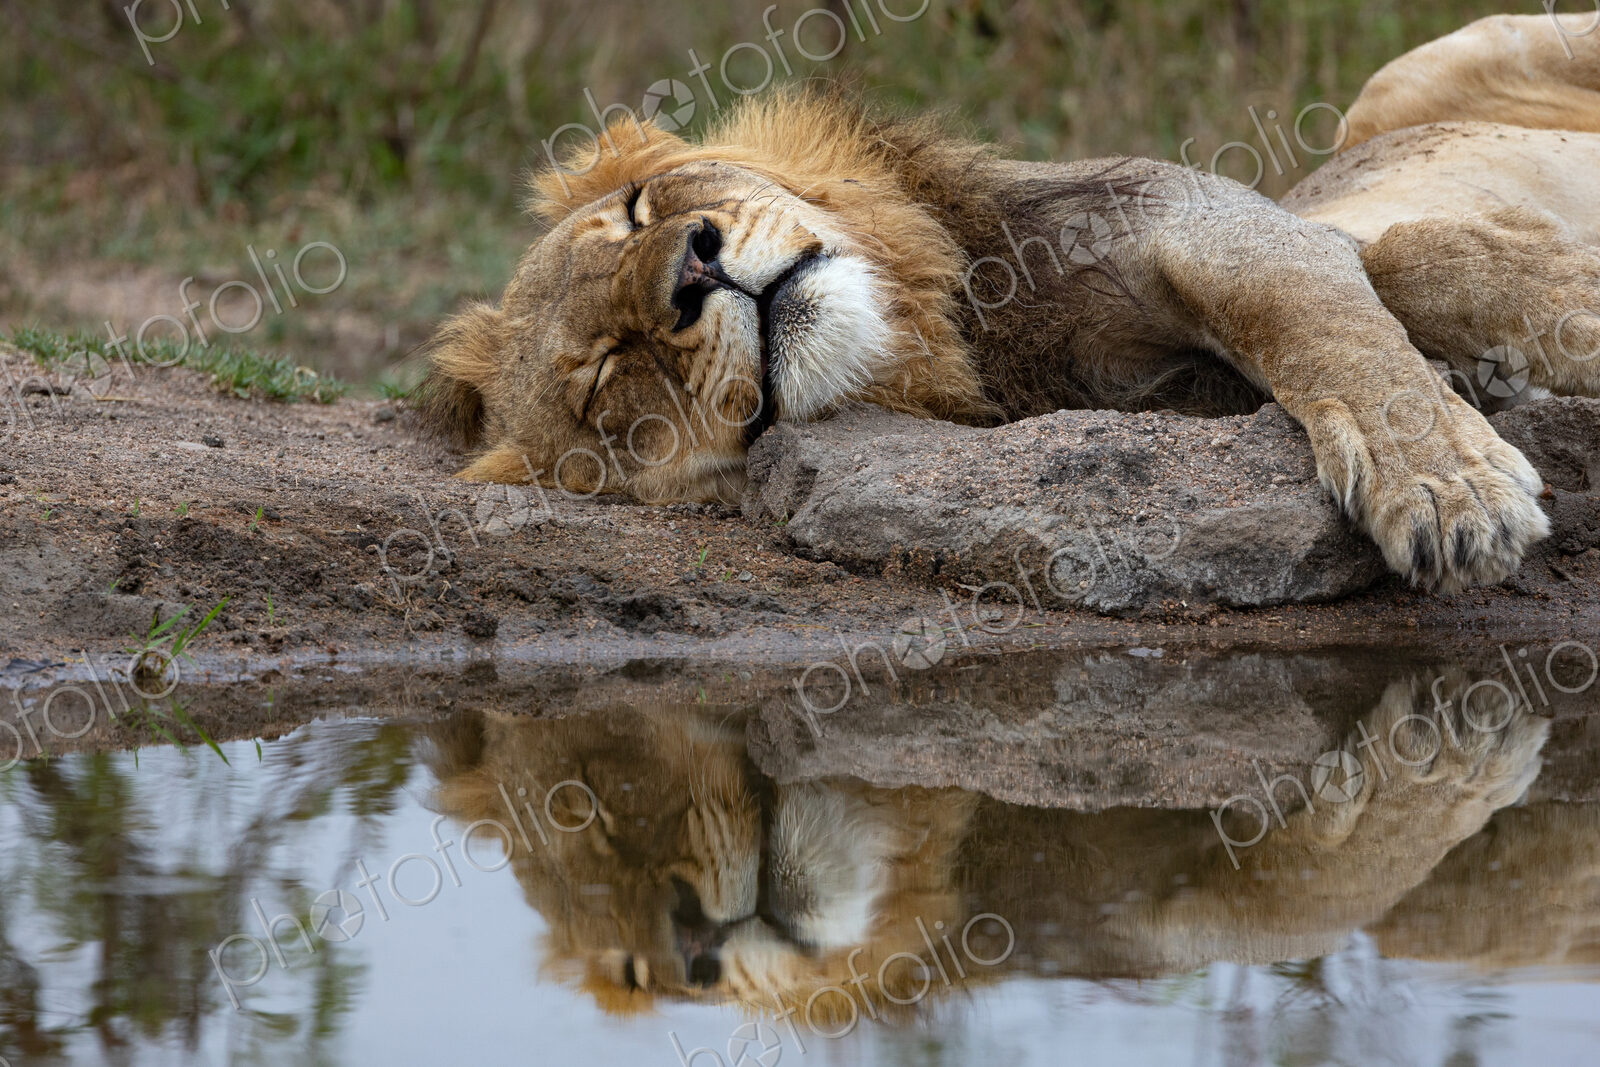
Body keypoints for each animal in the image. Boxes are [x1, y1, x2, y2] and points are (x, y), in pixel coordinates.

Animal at [423, 15, 1600, 594]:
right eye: (604, 373)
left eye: (635, 211)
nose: (692, 269)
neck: (958, 326)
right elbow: (1392, 280)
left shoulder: (1207, 215)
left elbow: (1379, 284)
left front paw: (1449, 477)